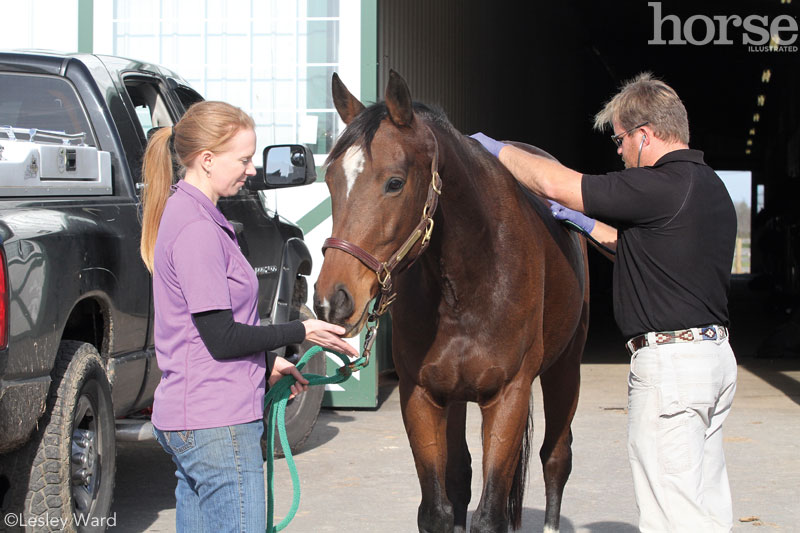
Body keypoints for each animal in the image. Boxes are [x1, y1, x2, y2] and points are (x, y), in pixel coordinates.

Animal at [316, 70, 592, 532]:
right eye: (330, 179)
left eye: (395, 182)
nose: (332, 301)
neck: (469, 284)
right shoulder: (422, 395)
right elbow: (438, 509)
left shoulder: (508, 396)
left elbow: (490, 514)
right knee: (462, 474)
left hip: (565, 369)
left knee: (557, 459)